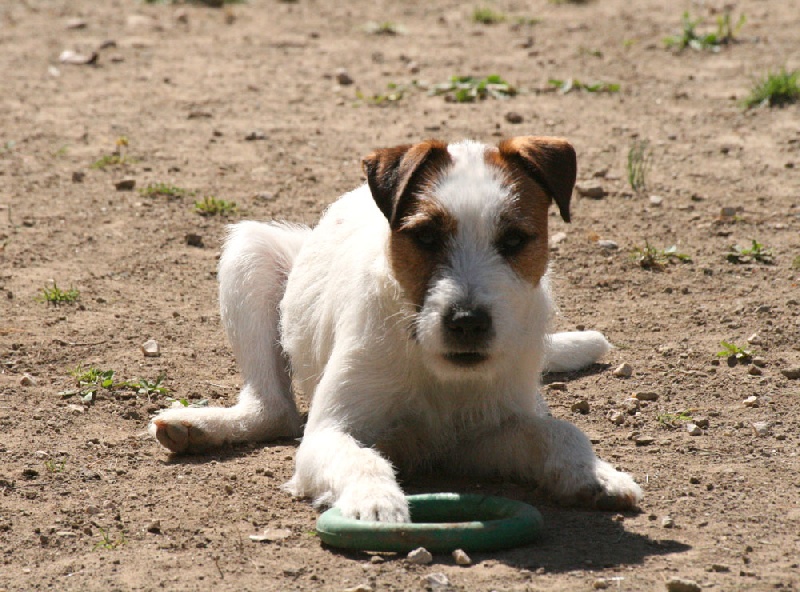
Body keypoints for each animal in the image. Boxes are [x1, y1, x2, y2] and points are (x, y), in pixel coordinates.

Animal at [149, 136, 643, 522]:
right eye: (425, 237)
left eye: (514, 240)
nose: (467, 322)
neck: (434, 367)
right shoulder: (329, 434)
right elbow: (361, 459)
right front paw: (376, 502)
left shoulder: (481, 438)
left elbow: (558, 431)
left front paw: (596, 473)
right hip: (249, 255)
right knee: (273, 410)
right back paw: (199, 425)